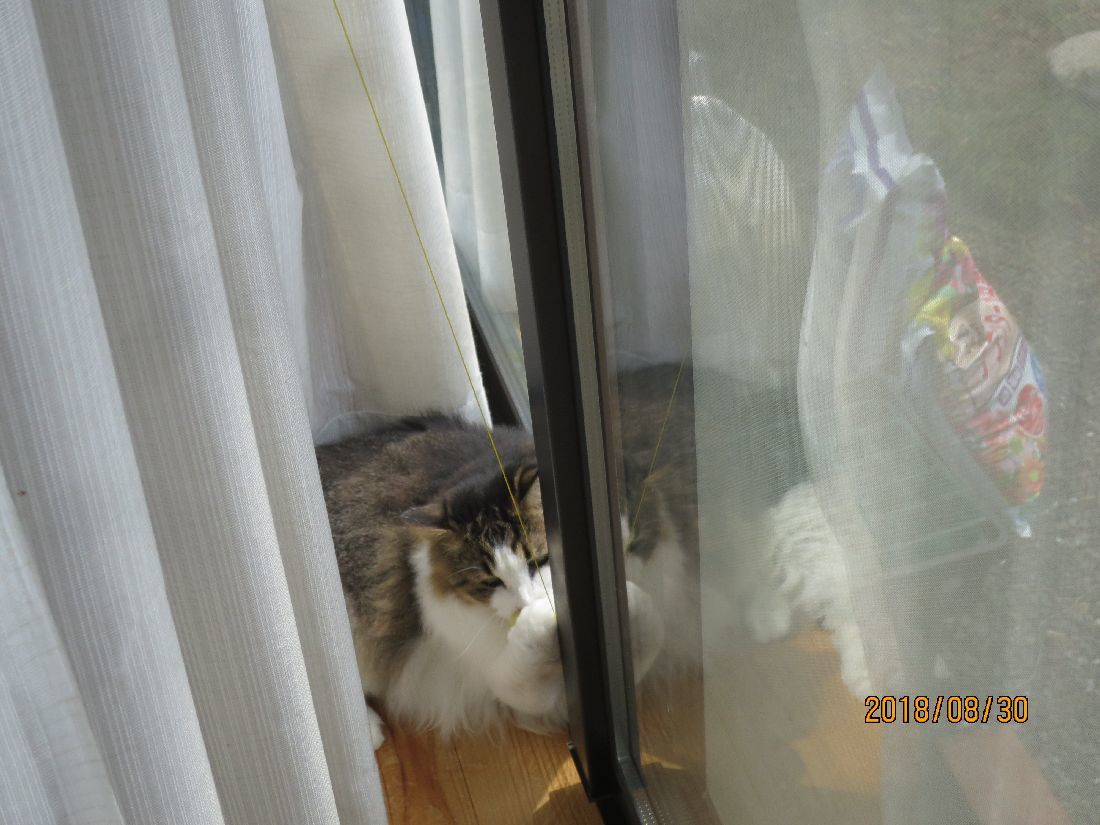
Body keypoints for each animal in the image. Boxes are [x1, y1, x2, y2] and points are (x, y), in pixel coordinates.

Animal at [317, 415, 671, 745]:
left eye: (540, 560)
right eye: (490, 582)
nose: (527, 602)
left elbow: (647, 631)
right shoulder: (498, 680)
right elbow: (529, 657)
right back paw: (369, 730)